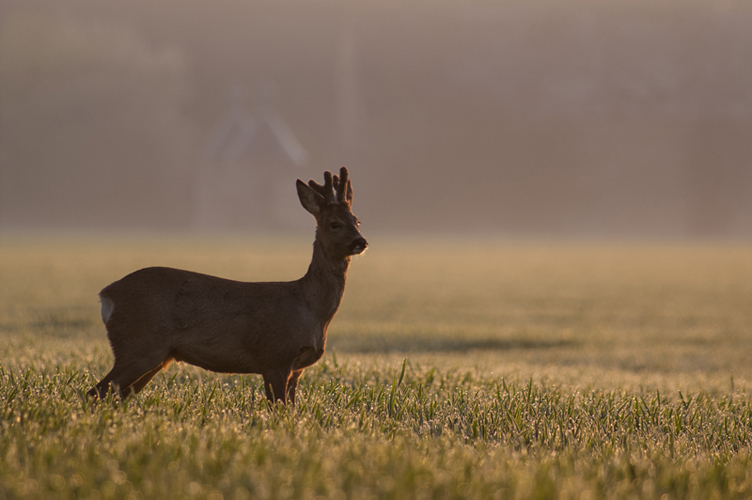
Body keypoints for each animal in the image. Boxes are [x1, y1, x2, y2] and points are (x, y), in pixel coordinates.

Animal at [88, 166, 368, 404]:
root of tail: (107, 295)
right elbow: (278, 409)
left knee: (114, 395)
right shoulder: (275, 357)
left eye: (357, 221)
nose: (361, 242)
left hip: (153, 356)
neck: (310, 309)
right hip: (139, 345)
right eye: (334, 223)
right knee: (95, 392)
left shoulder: (296, 368)